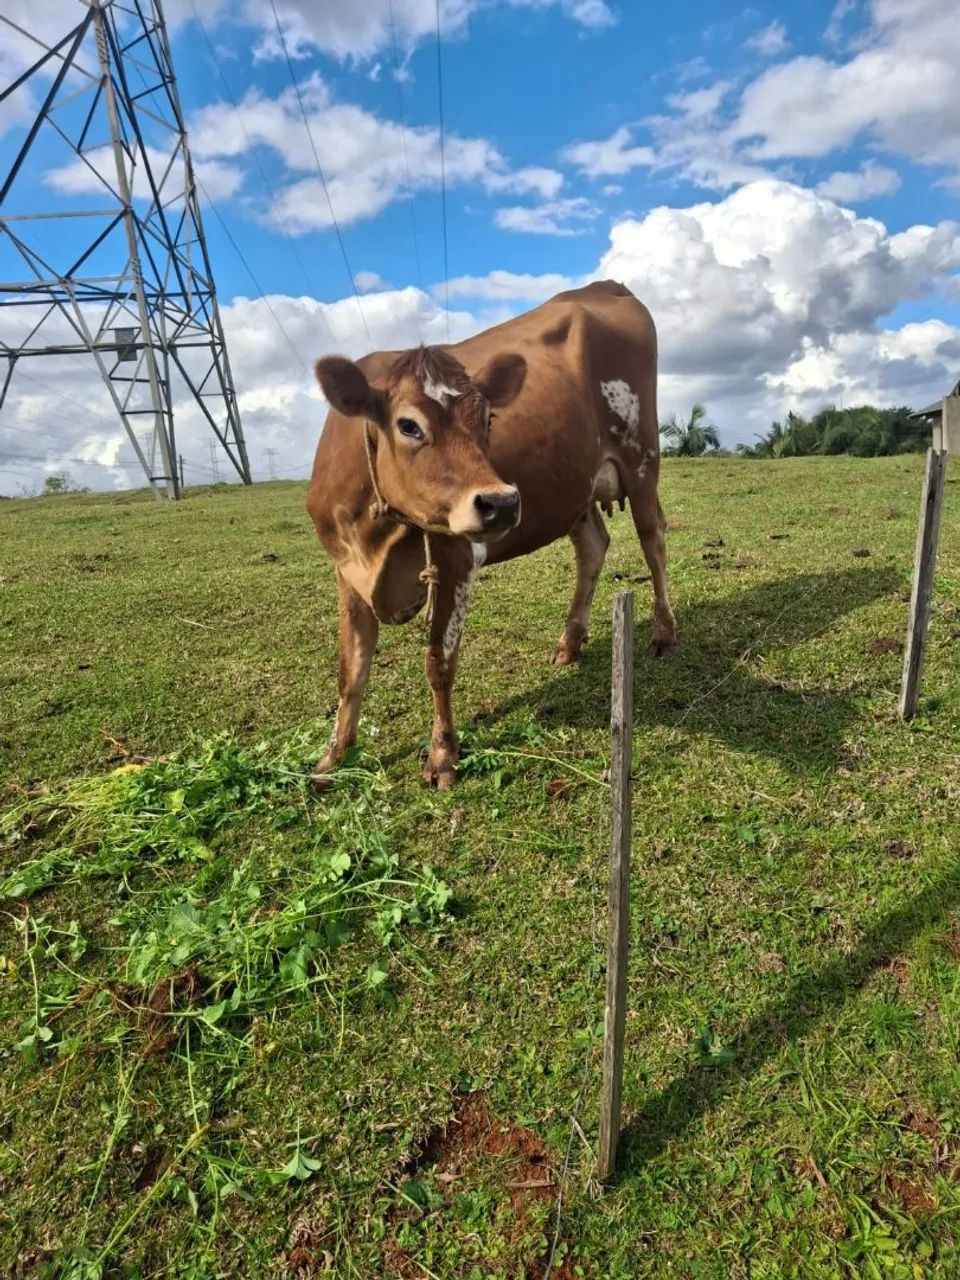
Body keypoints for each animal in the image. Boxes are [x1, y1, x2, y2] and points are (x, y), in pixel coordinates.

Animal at [306, 280, 676, 789]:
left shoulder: (456, 557)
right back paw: (569, 642)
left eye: (487, 421)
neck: (375, 533)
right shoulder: (346, 571)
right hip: (573, 487)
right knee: (593, 547)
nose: (501, 502)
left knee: (653, 542)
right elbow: (351, 668)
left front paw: (443, 754)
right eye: (408, 425)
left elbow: (438, 663)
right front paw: (335, 754)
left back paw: (664, 632)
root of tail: (607, 287)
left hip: (643, 460)